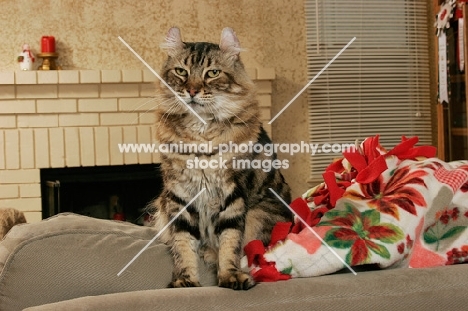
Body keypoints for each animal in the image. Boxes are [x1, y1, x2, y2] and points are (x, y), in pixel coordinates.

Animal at [152, 26, 290, 290]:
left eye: (213, 73)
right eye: (181, 71)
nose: (192, 91)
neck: (201, 133)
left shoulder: (232, 193)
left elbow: (230, 241)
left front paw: (229, 276)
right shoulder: (179, 194)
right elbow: (183, 244)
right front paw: (185, 279)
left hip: (259, 214)